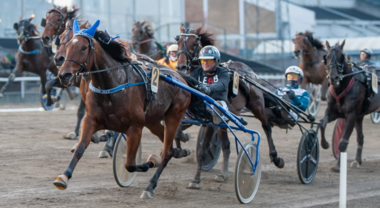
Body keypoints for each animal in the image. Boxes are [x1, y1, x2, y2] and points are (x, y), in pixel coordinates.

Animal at [52, 19, 191, 198]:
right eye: (67, 44)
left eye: (83, 47)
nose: (64, 74)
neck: (112, 85)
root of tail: (180, 77)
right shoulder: (91, 120)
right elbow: (80, 149)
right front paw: (64, 176)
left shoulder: (135, 128)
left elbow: (129, 164)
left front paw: (149, 162)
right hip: (152, 120)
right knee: (169, 147)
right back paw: (178, 152)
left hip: (174, 115)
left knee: (166, 152)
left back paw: (150, 186)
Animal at [177, 24, 280, 188]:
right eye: (179, 41)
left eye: (194, 44)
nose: (180, 66)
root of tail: (248, 70)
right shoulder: (193, 115)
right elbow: (178, 130)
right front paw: (181, 147)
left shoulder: (211, 119)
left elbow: (203, 148)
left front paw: (196, 178)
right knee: (226, 145)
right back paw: (223, 173)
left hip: (256, 105)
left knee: (266, 126)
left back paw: (275, 157)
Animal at [320, 40, 380, 171]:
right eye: (326, 57)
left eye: (341, 56)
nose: (333, 78)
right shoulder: (332, 111)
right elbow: (322, 123)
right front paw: (325, 143)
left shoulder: (351, 115)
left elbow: (343, 141)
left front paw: (339, 166)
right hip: (360, 116)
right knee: (360, 137)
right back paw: (357, 160)